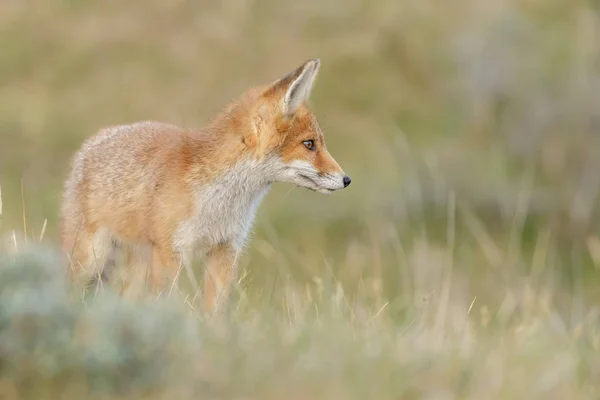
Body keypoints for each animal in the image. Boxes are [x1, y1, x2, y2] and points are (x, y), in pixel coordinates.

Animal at [58, 58, 350, 312]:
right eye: (309, 144)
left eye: (317, 143)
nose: (346, 179)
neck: (220, 204)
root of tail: (94, 140)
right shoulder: (170, 253)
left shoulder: (226, 250)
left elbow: (215, 315)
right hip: (91, 258)